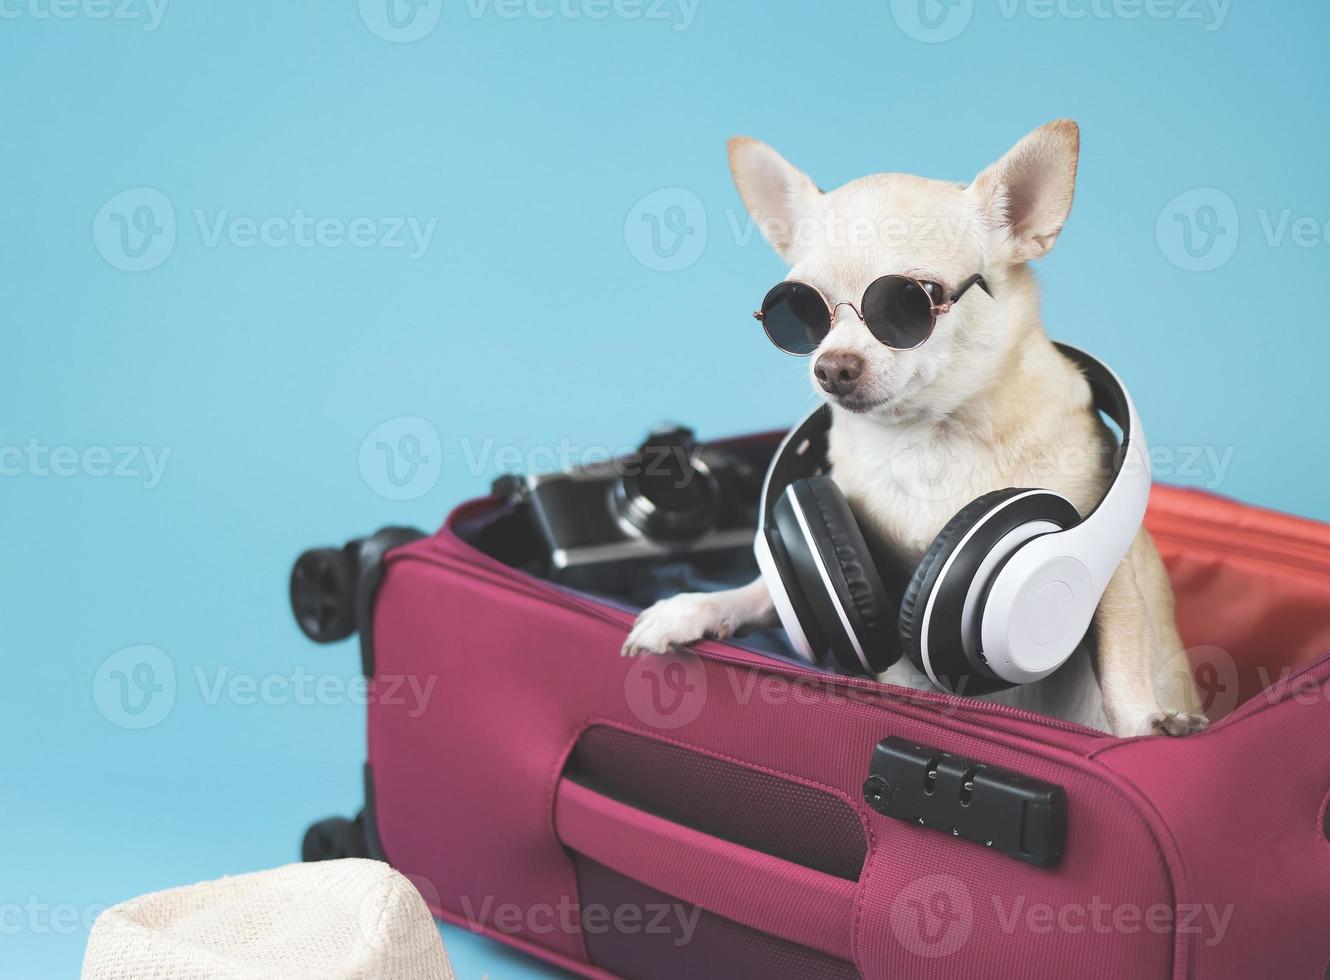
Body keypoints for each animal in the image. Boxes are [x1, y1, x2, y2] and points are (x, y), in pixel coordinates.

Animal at [622, 120, 1207, 734]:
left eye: (911, 300)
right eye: (800, 309)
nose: (831, 366)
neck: (926, 439)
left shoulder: (1110, 570)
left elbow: (1120, 662)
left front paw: (1144, 729)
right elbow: (771, 585)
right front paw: (698, 606)